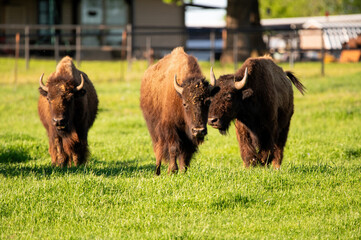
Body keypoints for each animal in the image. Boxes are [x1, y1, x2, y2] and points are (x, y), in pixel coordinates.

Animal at [139, 46, 215, 174]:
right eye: (185, 104)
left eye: (208, 102)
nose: (199, 130)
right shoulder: (170, 127)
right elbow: (173, 148)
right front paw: (172, 170)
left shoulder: (188, 135)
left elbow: (186, 151)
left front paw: (183, 170)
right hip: (154, 130)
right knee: (158, 148)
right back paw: (157, 171)